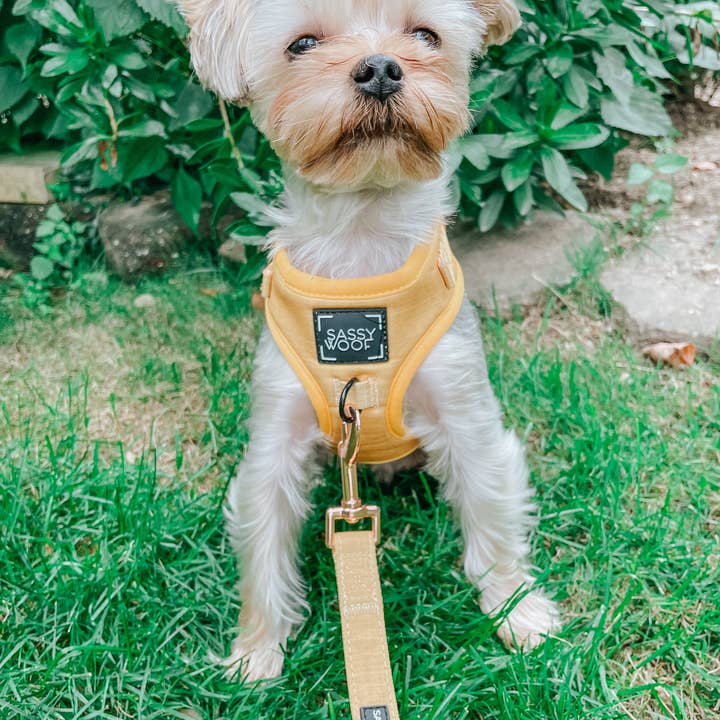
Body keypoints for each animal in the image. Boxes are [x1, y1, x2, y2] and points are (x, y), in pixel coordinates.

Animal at [180, 0, 564, 680]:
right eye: (302, 44)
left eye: (425, 36)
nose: (381, 68)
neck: (362, 244)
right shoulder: (274, 438)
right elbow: (263, 546)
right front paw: (257, 650)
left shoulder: (466, 410)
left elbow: (492, 514)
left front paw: (516, 611)